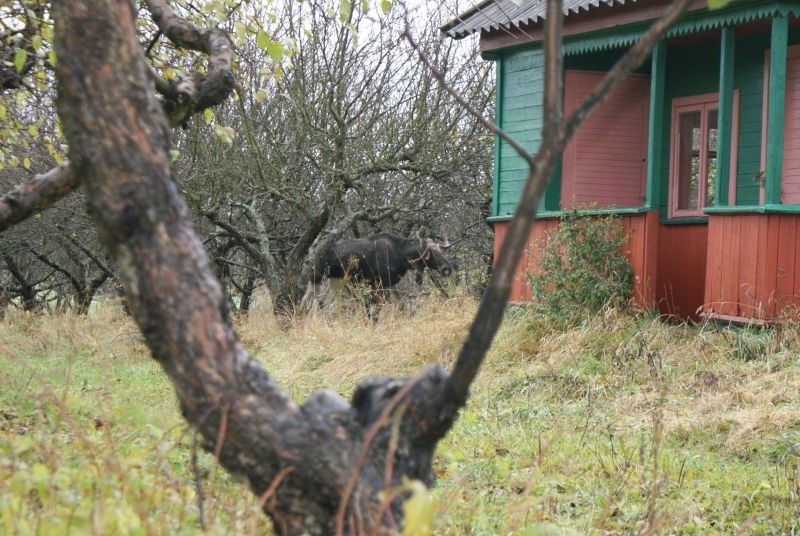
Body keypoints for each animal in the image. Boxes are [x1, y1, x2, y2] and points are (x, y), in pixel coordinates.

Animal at [304, 230, 456, 310]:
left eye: (441, 251)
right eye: (432, 253)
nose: (447, 268)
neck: (402, 257)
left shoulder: (390, 282)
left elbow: (401, 305)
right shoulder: (378, 283)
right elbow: (376, 308)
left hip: (336, 280)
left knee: (323, 303)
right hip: (316, 278)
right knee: (311, 304)